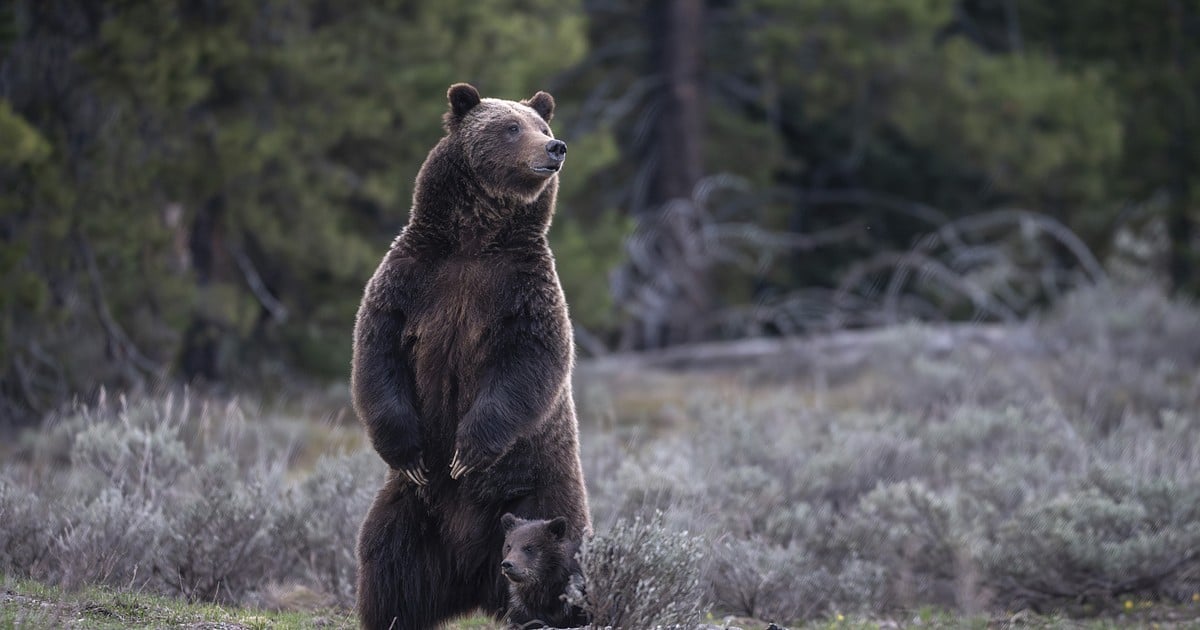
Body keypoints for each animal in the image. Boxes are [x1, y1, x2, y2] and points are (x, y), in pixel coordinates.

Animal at [350, 84, 590, 628]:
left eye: (541, 126)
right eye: (511, 127)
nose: (555, 148)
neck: (474, 239)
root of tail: (472, 577)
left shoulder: (523, 291)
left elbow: (530, 364)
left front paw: (467, 452)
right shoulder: (412, 279)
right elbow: (377, 354)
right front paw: (411, 452)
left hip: (542, 494)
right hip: (413, 511)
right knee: (387, 560)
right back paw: (392, 614)